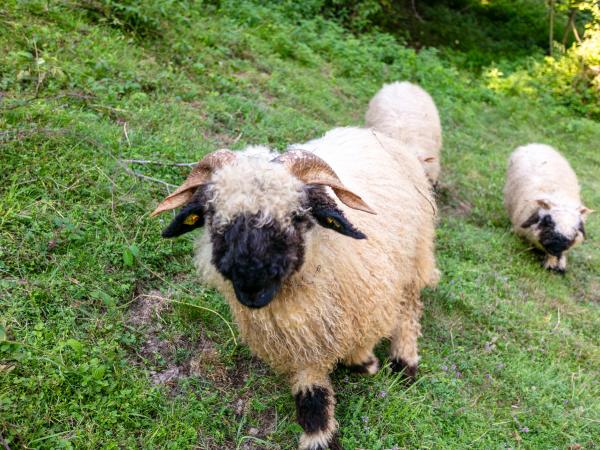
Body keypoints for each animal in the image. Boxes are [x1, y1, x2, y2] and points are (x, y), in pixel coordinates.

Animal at [152, 125, 438, 448]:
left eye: (299, 215)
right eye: (213, 216)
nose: (252, 287)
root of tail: (371, 133)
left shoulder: (371, 302)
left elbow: (364, 339)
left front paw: (365, 362)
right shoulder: (300, 339)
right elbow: (312, 395)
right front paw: (320, 436)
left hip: (416, 250)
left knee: (410, 306)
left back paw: (404, 361)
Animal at [504, 142, 592, 272]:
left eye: (576, 229)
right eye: (548, 221)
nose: (558, 245)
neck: (558, 197)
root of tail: (535, 144)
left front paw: (558, 264)